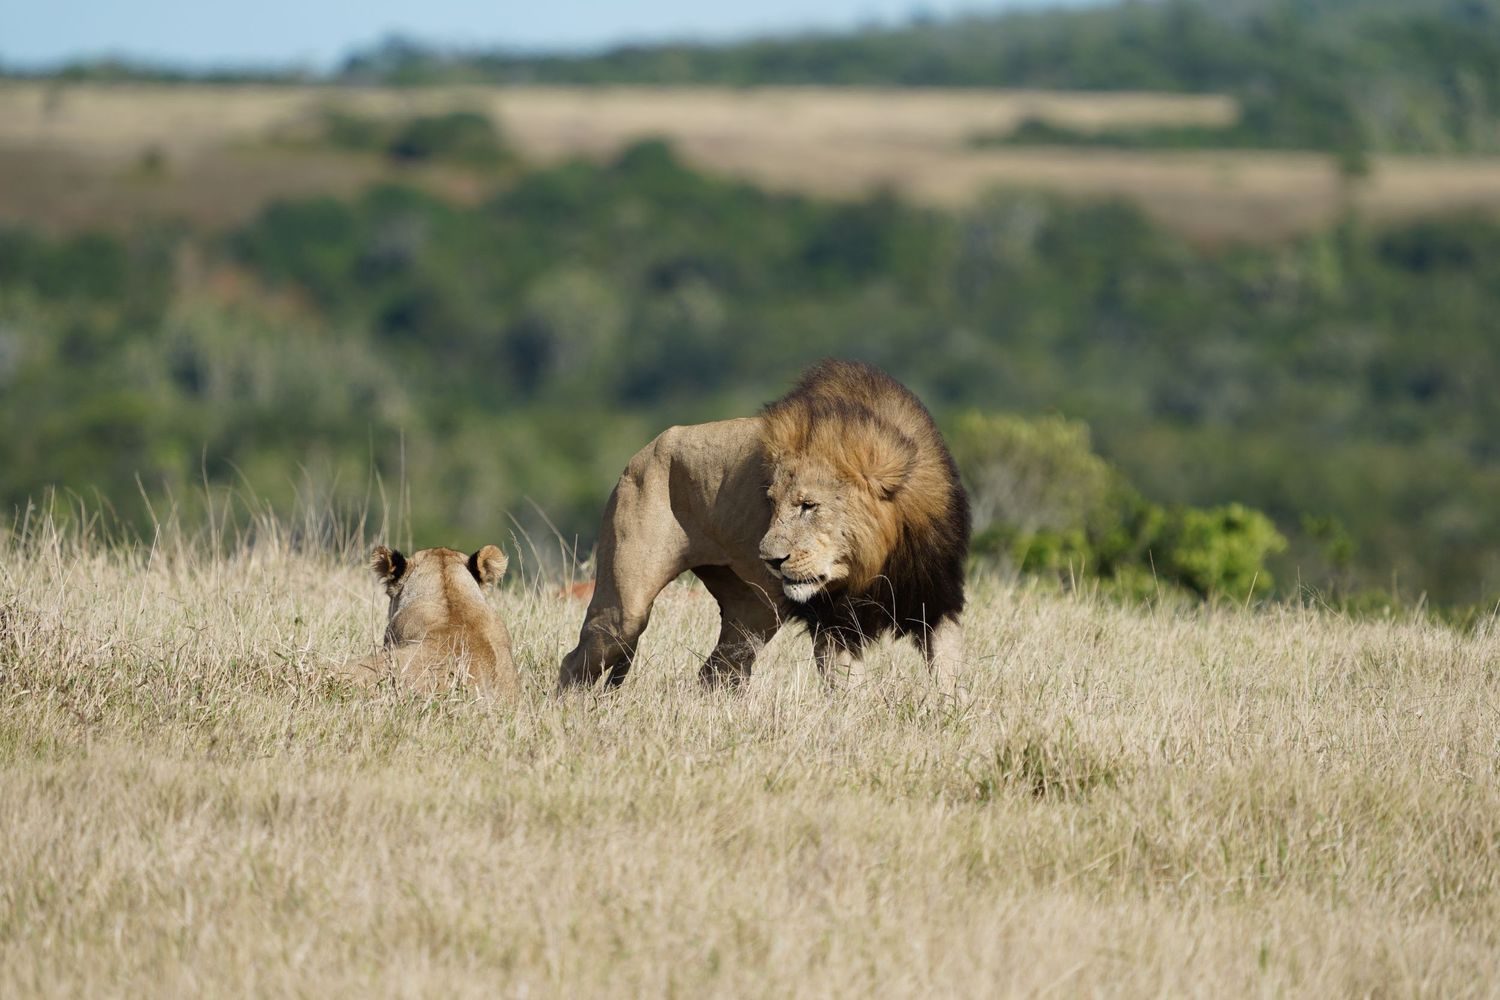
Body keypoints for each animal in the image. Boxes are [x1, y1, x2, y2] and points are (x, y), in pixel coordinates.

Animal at [558, 359, 970, 691]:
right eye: (771, 503)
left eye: (808, 505)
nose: (770, 559)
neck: (872, 560)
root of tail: (638, 456)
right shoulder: (833, 622)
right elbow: (850, 689)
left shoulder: (936, 600)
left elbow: (950, 675)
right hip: (625, 612)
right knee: (577, 658)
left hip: (754, 611)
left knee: (717, 670)